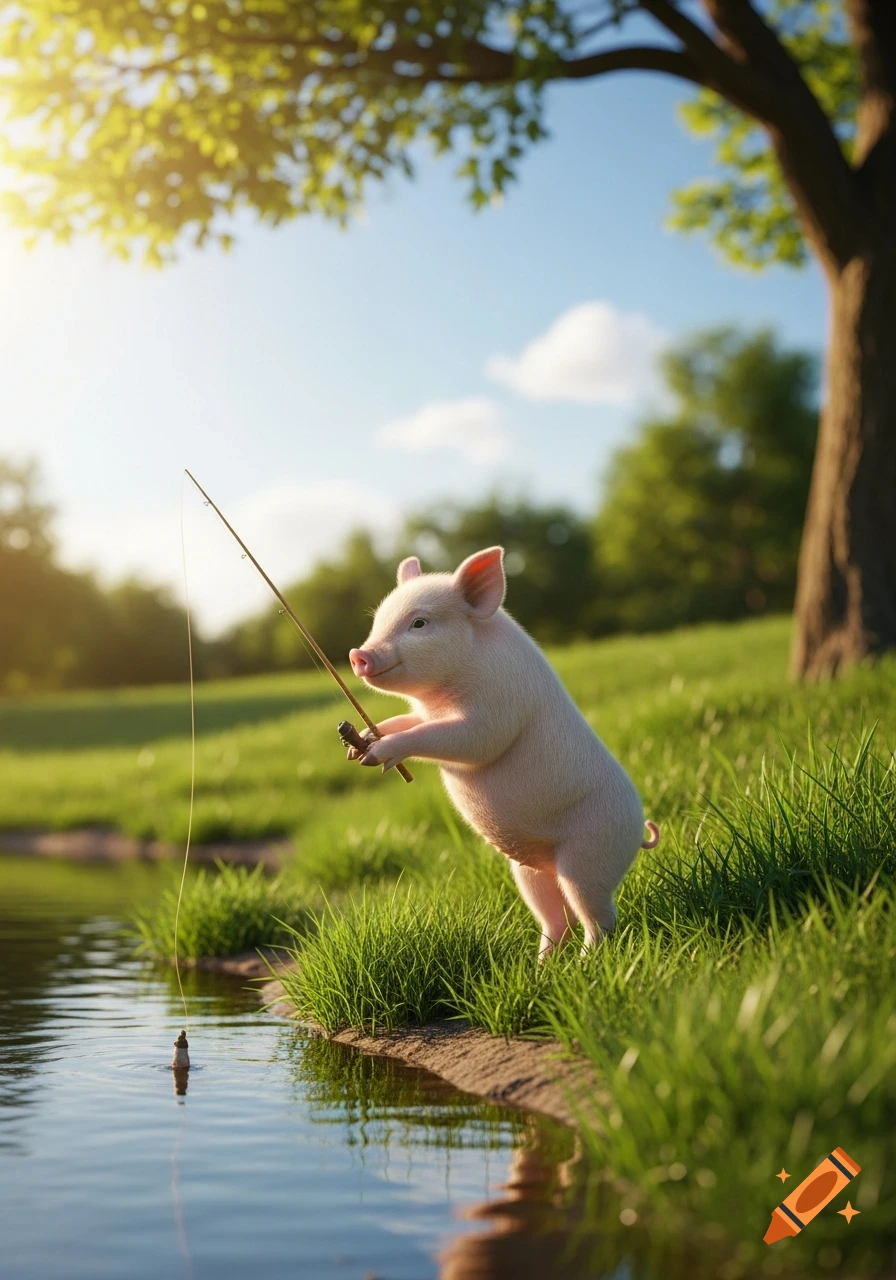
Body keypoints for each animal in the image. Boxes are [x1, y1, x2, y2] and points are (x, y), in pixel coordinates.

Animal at [347, 547, 659, 956]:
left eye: (419, 623)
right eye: (378, 620)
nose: (357, 654)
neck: (440, 698)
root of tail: (638, 832)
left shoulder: (497, 708)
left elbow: (463, 739)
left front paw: (379, 752)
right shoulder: (424, 713)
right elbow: (406, 721)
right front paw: (363, 742)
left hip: (590, 855)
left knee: (599, 917)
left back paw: (585, 962)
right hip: (529, 870)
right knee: (556, 917)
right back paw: (542, 965)